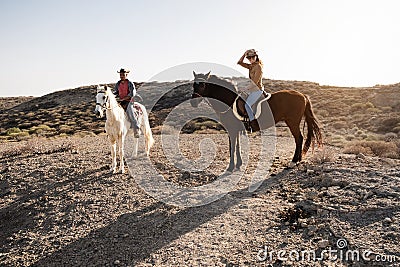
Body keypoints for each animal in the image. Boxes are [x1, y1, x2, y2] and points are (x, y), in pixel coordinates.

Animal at [190, 71, 322, 172]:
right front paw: (239, 164)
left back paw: (293, 162)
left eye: (202, 85)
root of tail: (303, 95)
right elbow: (237, 145)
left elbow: (232, 147)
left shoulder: (231, 129)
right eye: (193, 85)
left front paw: (231, 167)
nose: (193, 102)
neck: (229, 101)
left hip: (292, 122)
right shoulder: (236, 129)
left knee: (299, 139)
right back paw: (298, 160)